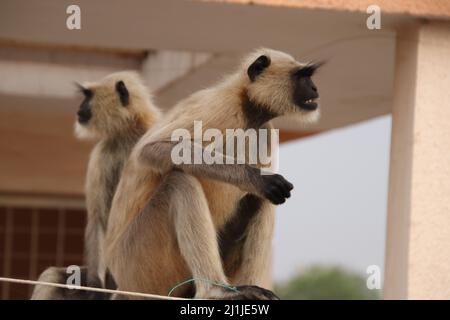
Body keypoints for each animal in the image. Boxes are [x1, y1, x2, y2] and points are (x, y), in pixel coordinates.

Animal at [30, 71, 160, 298]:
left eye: (88, 96)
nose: (79, 108)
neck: (129, 132)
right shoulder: (103, 153)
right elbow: (97, 217)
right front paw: (93, 286)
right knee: (53, 276)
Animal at [103, 48, 322, 300]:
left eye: (309, 77)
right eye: (302, 77)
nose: (315, 88)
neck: (247, 105)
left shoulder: (265, 129)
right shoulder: (218, 106)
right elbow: (150, 150)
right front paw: (255, 179)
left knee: (262, 198)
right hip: (139, 263)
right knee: (179, 181)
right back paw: (217, 291)